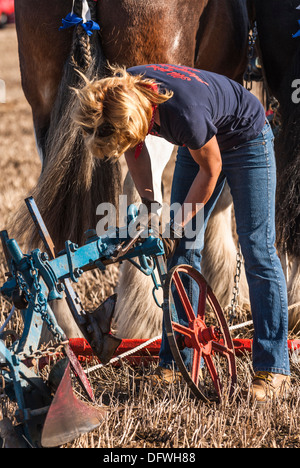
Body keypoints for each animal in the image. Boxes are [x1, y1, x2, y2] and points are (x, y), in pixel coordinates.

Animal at [12, 0, 251, 348]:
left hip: (44, 108)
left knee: (50, 224)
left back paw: (66, 327)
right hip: (149, 118)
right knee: (140, 209)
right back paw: (146, 321)